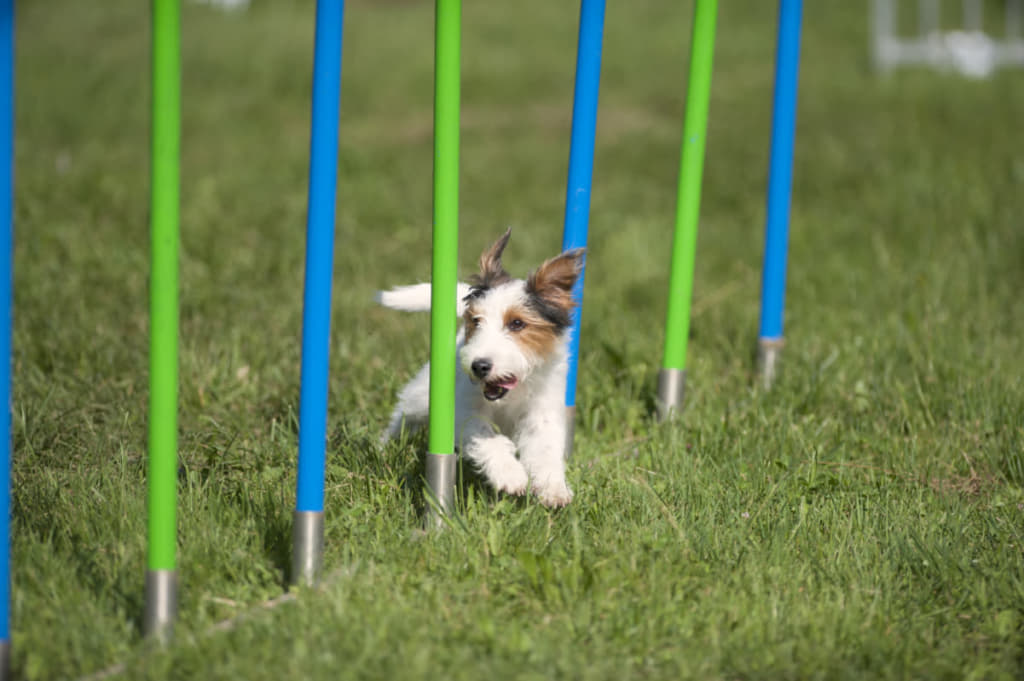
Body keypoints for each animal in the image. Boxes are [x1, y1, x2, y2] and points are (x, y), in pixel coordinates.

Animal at [376, 231, 585, 507]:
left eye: (517, 323)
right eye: (476, 321)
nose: (479, 366)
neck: (510, 397)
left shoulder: (542, 414)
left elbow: (545, 451)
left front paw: (554, 489)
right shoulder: (464, 411)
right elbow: (488, 438)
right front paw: (511, 475)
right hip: (420, 398)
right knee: (402, 415)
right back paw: (384, 446)